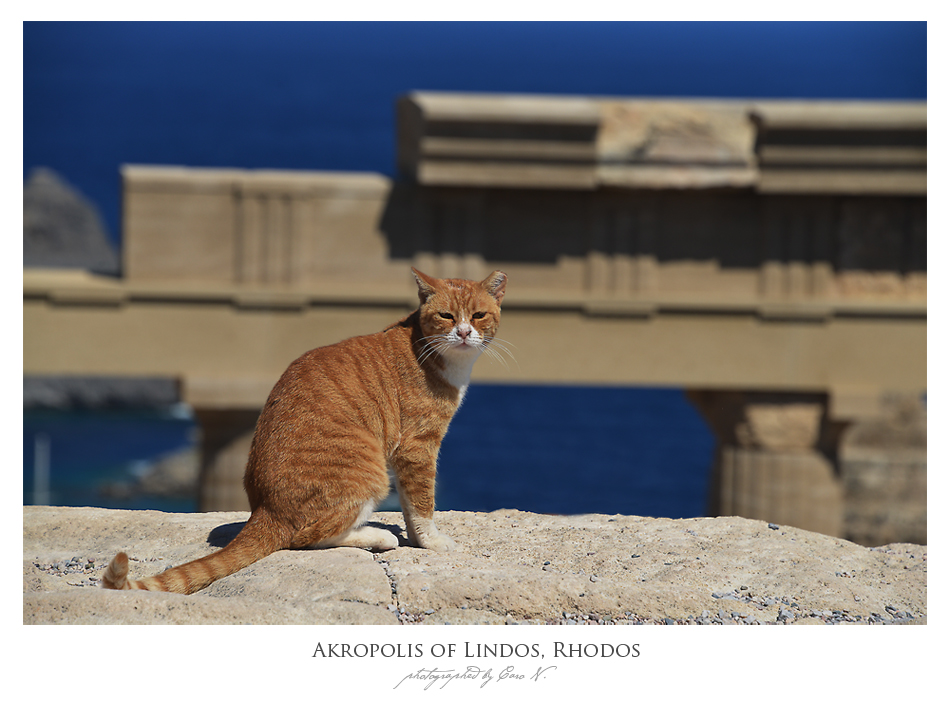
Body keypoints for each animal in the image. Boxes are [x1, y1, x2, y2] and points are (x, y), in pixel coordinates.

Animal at [98, 270, 506, 592]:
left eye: (479, 315)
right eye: (446, 315)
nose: (464, 332)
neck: (432, 352)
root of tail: (266, 508)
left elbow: (411, 503)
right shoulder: (417, 446)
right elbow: (422, 502)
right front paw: (430, 541)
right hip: (370, 472)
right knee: (307, 537)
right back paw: (376, 536)